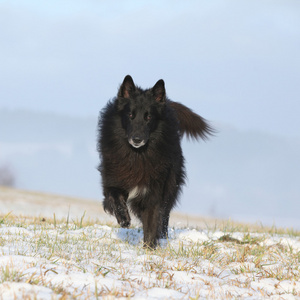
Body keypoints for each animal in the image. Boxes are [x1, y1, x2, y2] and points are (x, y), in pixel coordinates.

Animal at [97, 75, 212, 248]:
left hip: (170, 186)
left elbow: (152, 221)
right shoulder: (113, 179)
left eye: (148, 117)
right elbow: (114, 196)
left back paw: (163, 237)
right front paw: (124, 218)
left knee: (164, 217)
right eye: (130, 115)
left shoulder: (154, 191)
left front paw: (149, 249)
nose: (137, 139)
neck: (138, 155)